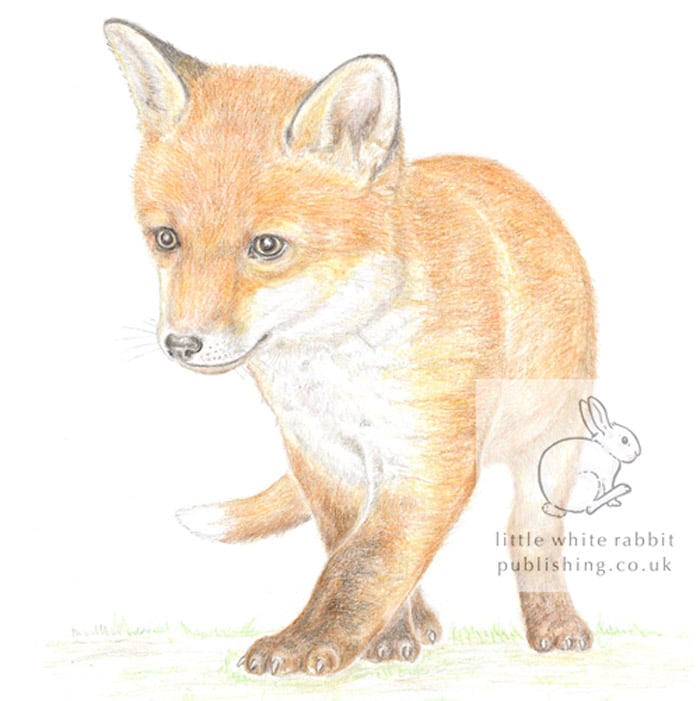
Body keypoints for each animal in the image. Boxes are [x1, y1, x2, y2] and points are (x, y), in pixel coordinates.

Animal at [104, 19, 597, 675]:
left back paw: (554, 624)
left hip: (551, 445)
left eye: (267, 246)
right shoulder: (321, 454)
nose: (181, 344)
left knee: (531, 538)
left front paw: (308, 642)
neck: (332, 365)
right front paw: (388, 638)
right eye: (166, 239)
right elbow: (353, 549)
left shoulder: (429, 460)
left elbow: (362, 566)